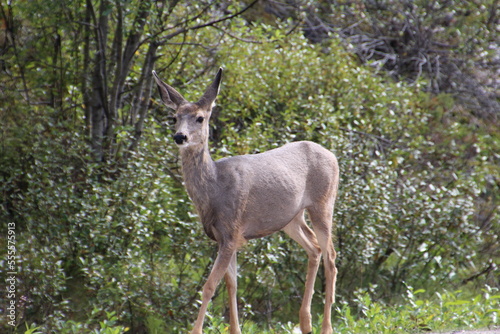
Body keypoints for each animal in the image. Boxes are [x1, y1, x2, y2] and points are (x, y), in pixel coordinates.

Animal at [152, 68, 340, 334]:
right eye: (174, 117)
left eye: (200, 118)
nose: (180, 136)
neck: (215, 188)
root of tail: (333, 156)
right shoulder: (225, 238)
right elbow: (232, 285)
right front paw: (235, 329)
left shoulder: (231, 232)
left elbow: (209, 287)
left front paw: (196, 330)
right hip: (290, 218)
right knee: (314, 248)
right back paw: (305, 322)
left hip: (323, 203)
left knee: (331, 256)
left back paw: (325, 327)